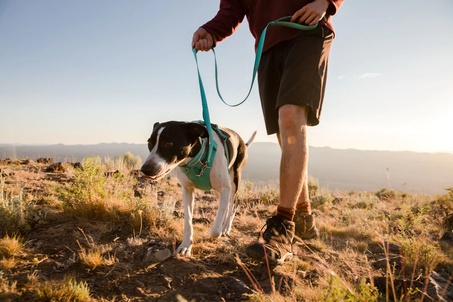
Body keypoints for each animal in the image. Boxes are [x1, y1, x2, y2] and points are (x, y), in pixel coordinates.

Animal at [139, 121, 256, 256]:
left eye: (168, 144)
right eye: (149, 143)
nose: (145, 169)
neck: (198, 159)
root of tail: (242, 141)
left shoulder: (225, 188)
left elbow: (215, 231)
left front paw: (217, 230)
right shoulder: (187, 190)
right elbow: (188, 221)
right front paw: (185, 246)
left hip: (234, 180)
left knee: (233, 204)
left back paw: (226, 227)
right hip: (218, 191)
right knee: (226, 205)